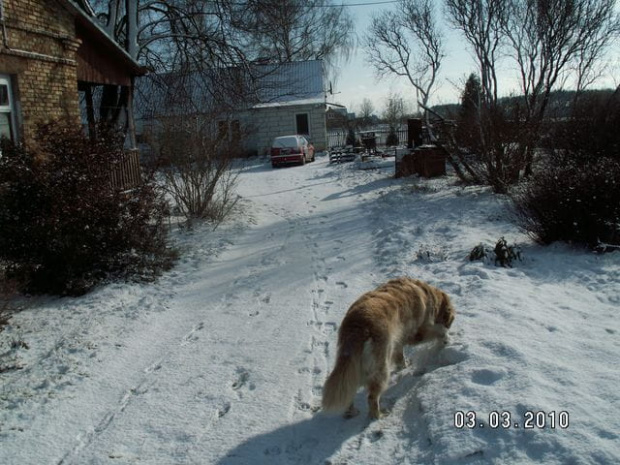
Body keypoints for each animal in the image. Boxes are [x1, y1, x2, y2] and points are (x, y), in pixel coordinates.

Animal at [322, 278, 452, 418]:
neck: (426, 293)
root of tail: (358, 327)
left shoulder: (398, 340)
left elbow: (400, 357)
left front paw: (404, 366)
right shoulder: (418, 332)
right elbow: (438, 331)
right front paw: (445, 338)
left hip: (352, 366)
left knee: (350, 389)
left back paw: (352, 412)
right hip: (381, 366)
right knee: (372, 397)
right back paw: (379, 415)